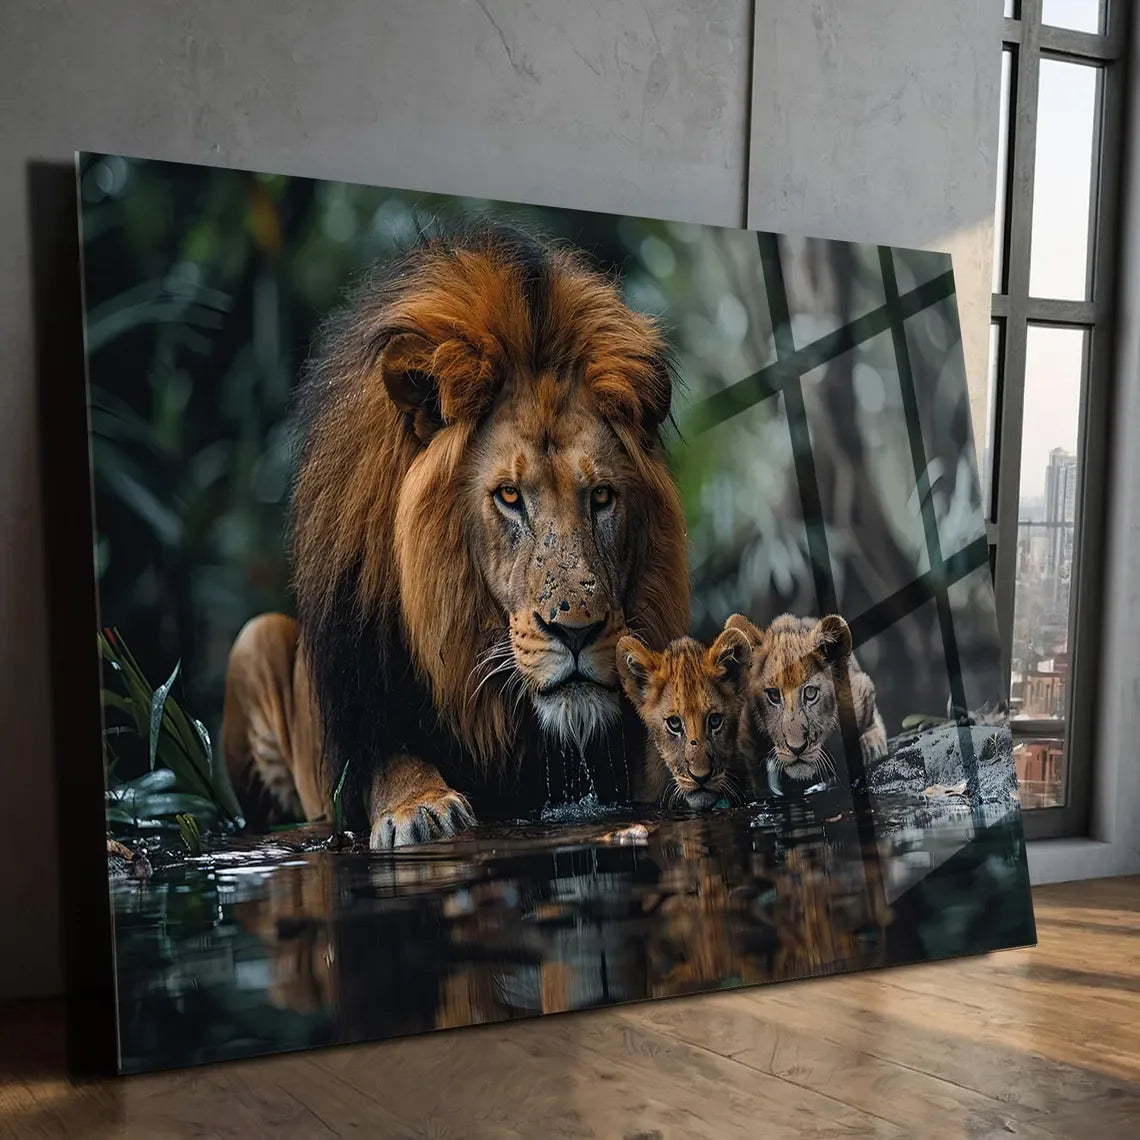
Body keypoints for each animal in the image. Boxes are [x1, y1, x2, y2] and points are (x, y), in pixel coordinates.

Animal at [222, 222, 689, 847]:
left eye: (601, 497)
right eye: (509, 496)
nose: (578, 632)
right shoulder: (362, 731)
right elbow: (391, 761)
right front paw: (420, 807)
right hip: (254, 640)